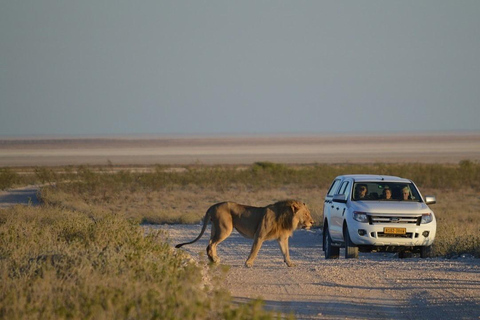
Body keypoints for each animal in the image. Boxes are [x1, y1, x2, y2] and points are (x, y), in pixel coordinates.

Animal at [174, 200, 314, 268]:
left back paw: (213, 259)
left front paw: (290, 264)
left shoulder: (282, 238)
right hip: (225, 228)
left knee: (210, 243)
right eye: (306, 214)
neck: (286, 217)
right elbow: (254, 250)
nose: (312, 222)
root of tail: (212, 206)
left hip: (216, 228)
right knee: (211, 244)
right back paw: (214, 260)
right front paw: (248, 263)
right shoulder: (259, 235)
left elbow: (286, 252)